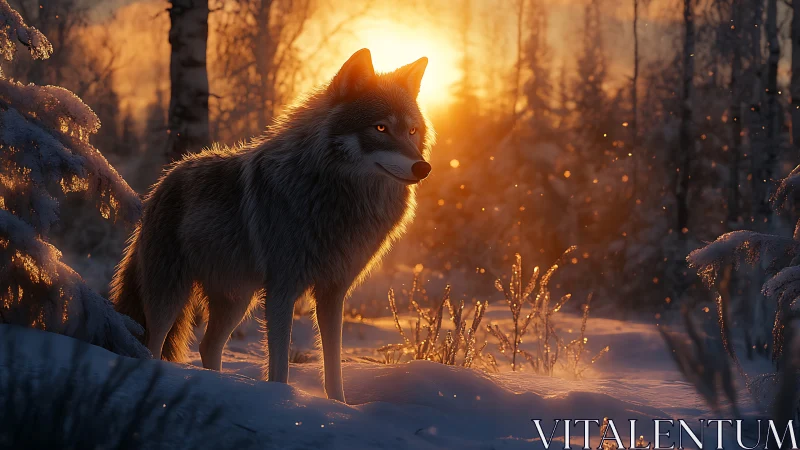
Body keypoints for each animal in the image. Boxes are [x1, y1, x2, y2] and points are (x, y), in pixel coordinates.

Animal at [110, 49, 433, 403]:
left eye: (412, 131)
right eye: (381, 127)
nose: (423, 167)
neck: (332, 197)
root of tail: (163, 180)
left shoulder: (333, 293)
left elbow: (333, 366)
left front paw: (339, 407)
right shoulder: (282, 290)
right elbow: (279, 366)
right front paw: (282, 401)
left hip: (236, 300)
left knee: (208, 345)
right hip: (171, 294)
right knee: (152, 342)